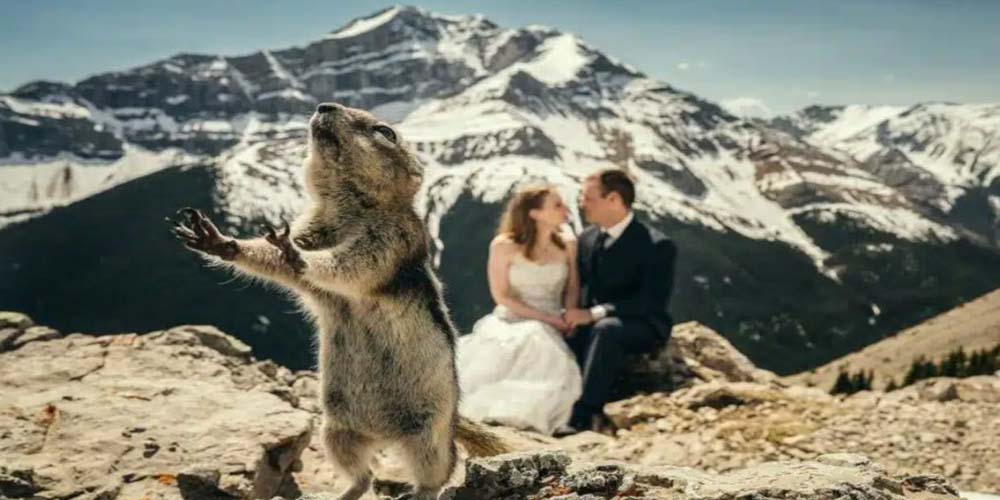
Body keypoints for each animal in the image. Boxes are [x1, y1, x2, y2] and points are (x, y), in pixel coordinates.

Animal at [170, 102, 506, 500]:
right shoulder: (311, 227)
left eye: (385, 131)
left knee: (441, 468)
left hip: (428, 435)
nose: (323, 105)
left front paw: (296, 256)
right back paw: (346, 491)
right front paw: (221, 242)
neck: (349, 209)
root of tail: (383, 435)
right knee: (365, 476)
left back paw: (420, 491)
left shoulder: (393, 238)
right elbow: (278, 263)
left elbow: (353, 265)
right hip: (336, 430)